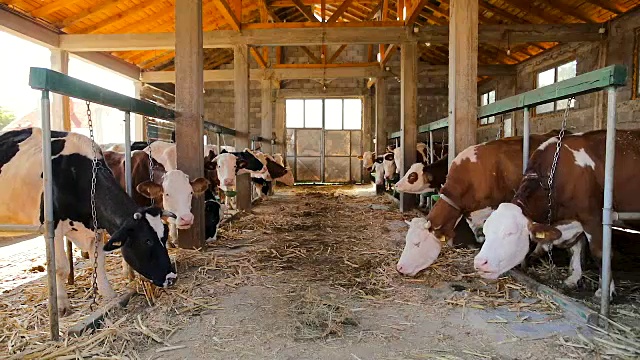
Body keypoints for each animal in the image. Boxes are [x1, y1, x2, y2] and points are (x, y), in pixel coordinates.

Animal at [2, 128, 179, 314]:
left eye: (164, 236)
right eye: (147, 241)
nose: (171, 278)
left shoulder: (96, 226)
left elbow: (99, 261)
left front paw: (109, 295)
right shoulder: (53, 227)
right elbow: (60, 268)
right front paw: (62, 303)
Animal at [476, 130, 640, 298]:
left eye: (510, 233)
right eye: (486, 232)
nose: (479, 262)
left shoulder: (593, 218)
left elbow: (599, 253)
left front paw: (605, 290)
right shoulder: (572, 220)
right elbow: (575, 248)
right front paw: (573, 278)